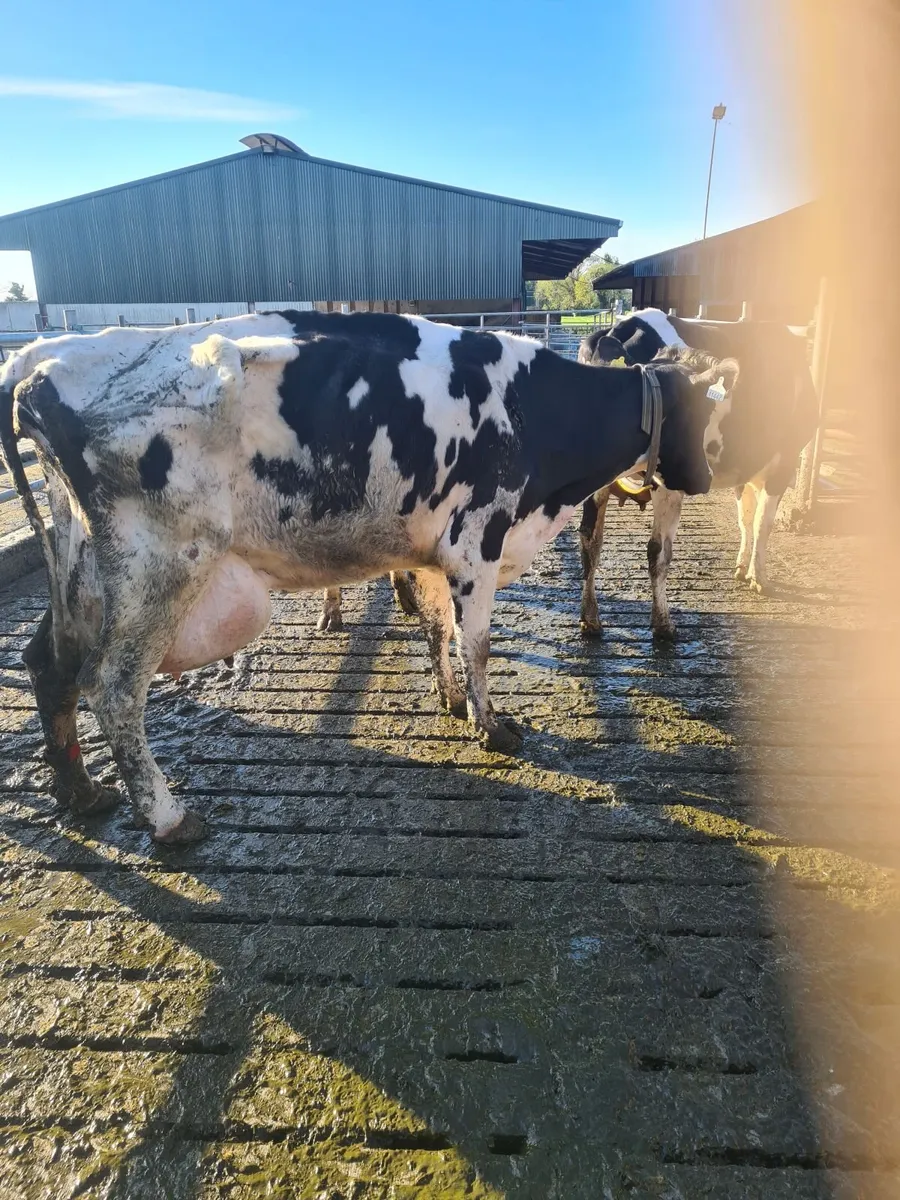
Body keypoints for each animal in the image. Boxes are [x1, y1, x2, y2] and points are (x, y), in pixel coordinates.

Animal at [1, 312, 728, 844]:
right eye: (703, 416)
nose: (706, 478)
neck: (534, 412)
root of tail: (43, 363)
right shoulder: (476, 542)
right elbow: (478, 644)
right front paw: (491, 726)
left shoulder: (434, 549)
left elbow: (438, 631)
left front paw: (450, 700)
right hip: (162, 565)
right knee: (113, 687)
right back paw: (168, 819)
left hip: (86, 568)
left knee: (47, 663)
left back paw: (82, 793)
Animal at [577, 308, 818, 638]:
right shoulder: (783, 462)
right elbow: (761, 524)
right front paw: (759, 577)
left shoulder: (746, 470)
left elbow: (745, 518)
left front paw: (742, 568)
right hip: (669, 478)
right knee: (657, 551)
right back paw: (663, 622)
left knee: (590, 541)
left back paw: (591, 619)